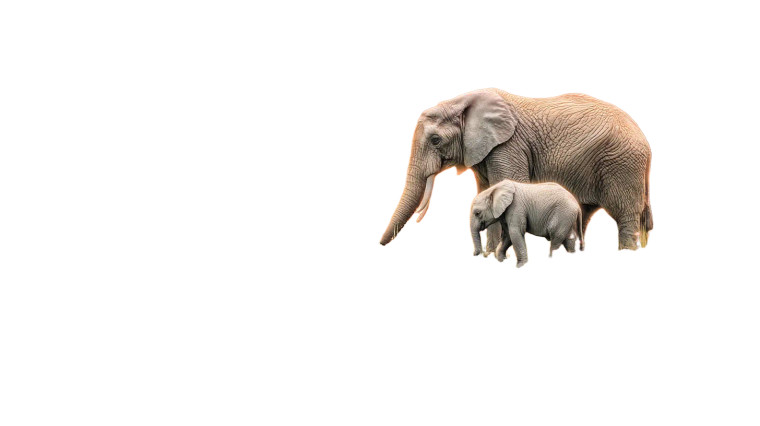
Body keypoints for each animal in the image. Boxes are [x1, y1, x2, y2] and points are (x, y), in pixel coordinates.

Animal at [379, 88, 653, 252]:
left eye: (436, 140)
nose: (380, 245)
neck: (464, 100)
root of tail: (646, 142)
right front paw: (491, 257)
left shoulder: (508, 146)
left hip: (622, 164)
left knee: (624, 215)